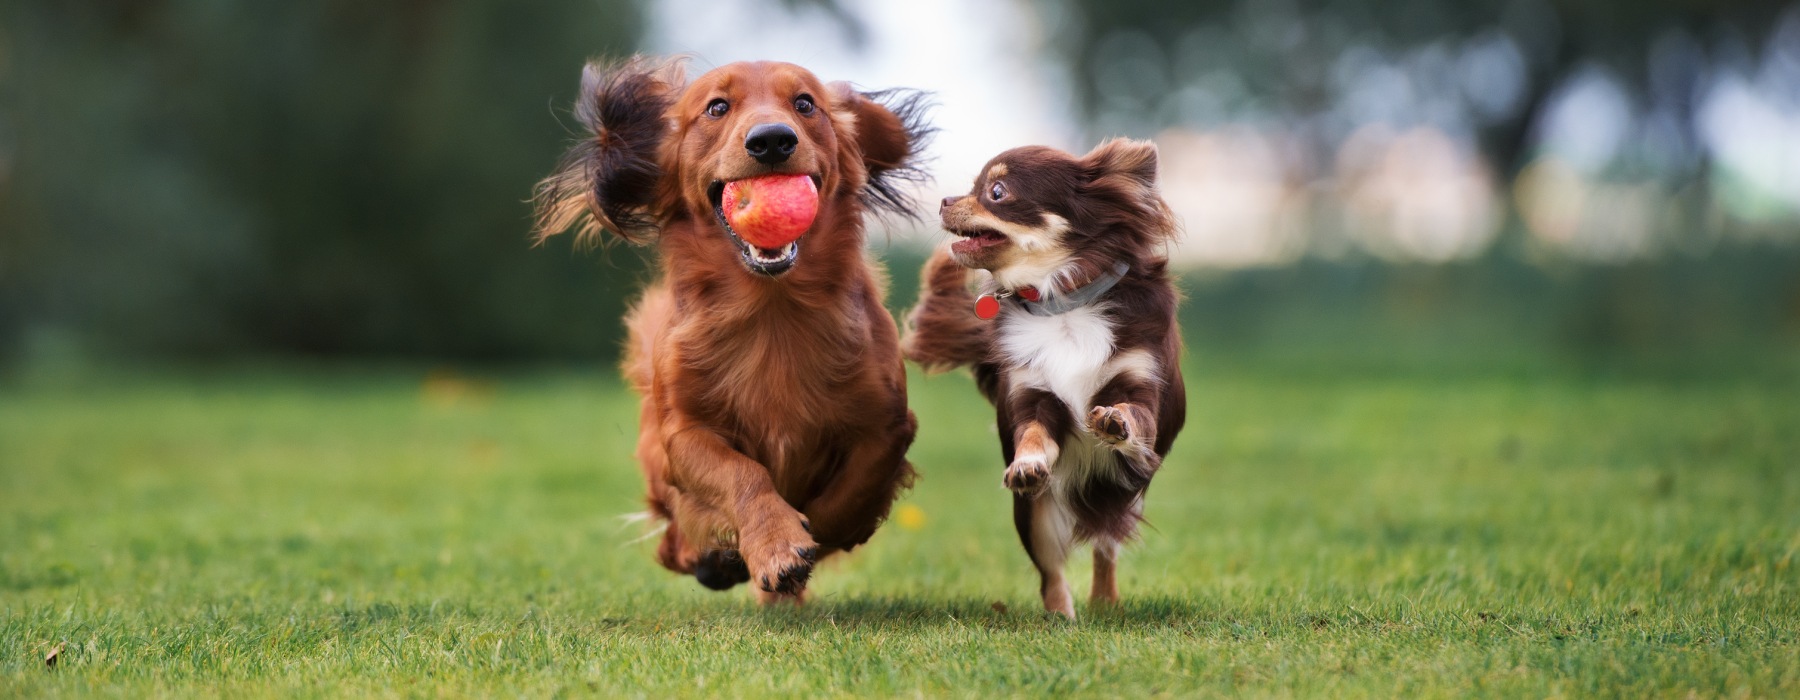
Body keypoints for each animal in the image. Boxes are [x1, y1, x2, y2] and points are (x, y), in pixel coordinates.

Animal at [529, 57, 928, 601]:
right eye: (717, 107)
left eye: (805, 103)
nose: (772, 140)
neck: (772, 310)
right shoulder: (683, 434)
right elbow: (742, 473)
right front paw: (775, 544)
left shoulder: (887, 425)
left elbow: (848, 495)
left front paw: (808, 538)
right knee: (671, 542)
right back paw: (714, 559)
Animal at [900, 140, 1180, 615]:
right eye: (972, 186)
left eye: (996, 192)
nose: (944, 200)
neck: (1061, 302)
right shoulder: (1033, 397)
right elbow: (1033, 435)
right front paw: (1028, 463)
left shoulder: (1141, 386)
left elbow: (1133, 413)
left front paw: (1115, 421)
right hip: (1034, 516)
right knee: (1052, 571)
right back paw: (1060, 615)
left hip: (1123, 494)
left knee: (1105, 546)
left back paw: (1104, 601)